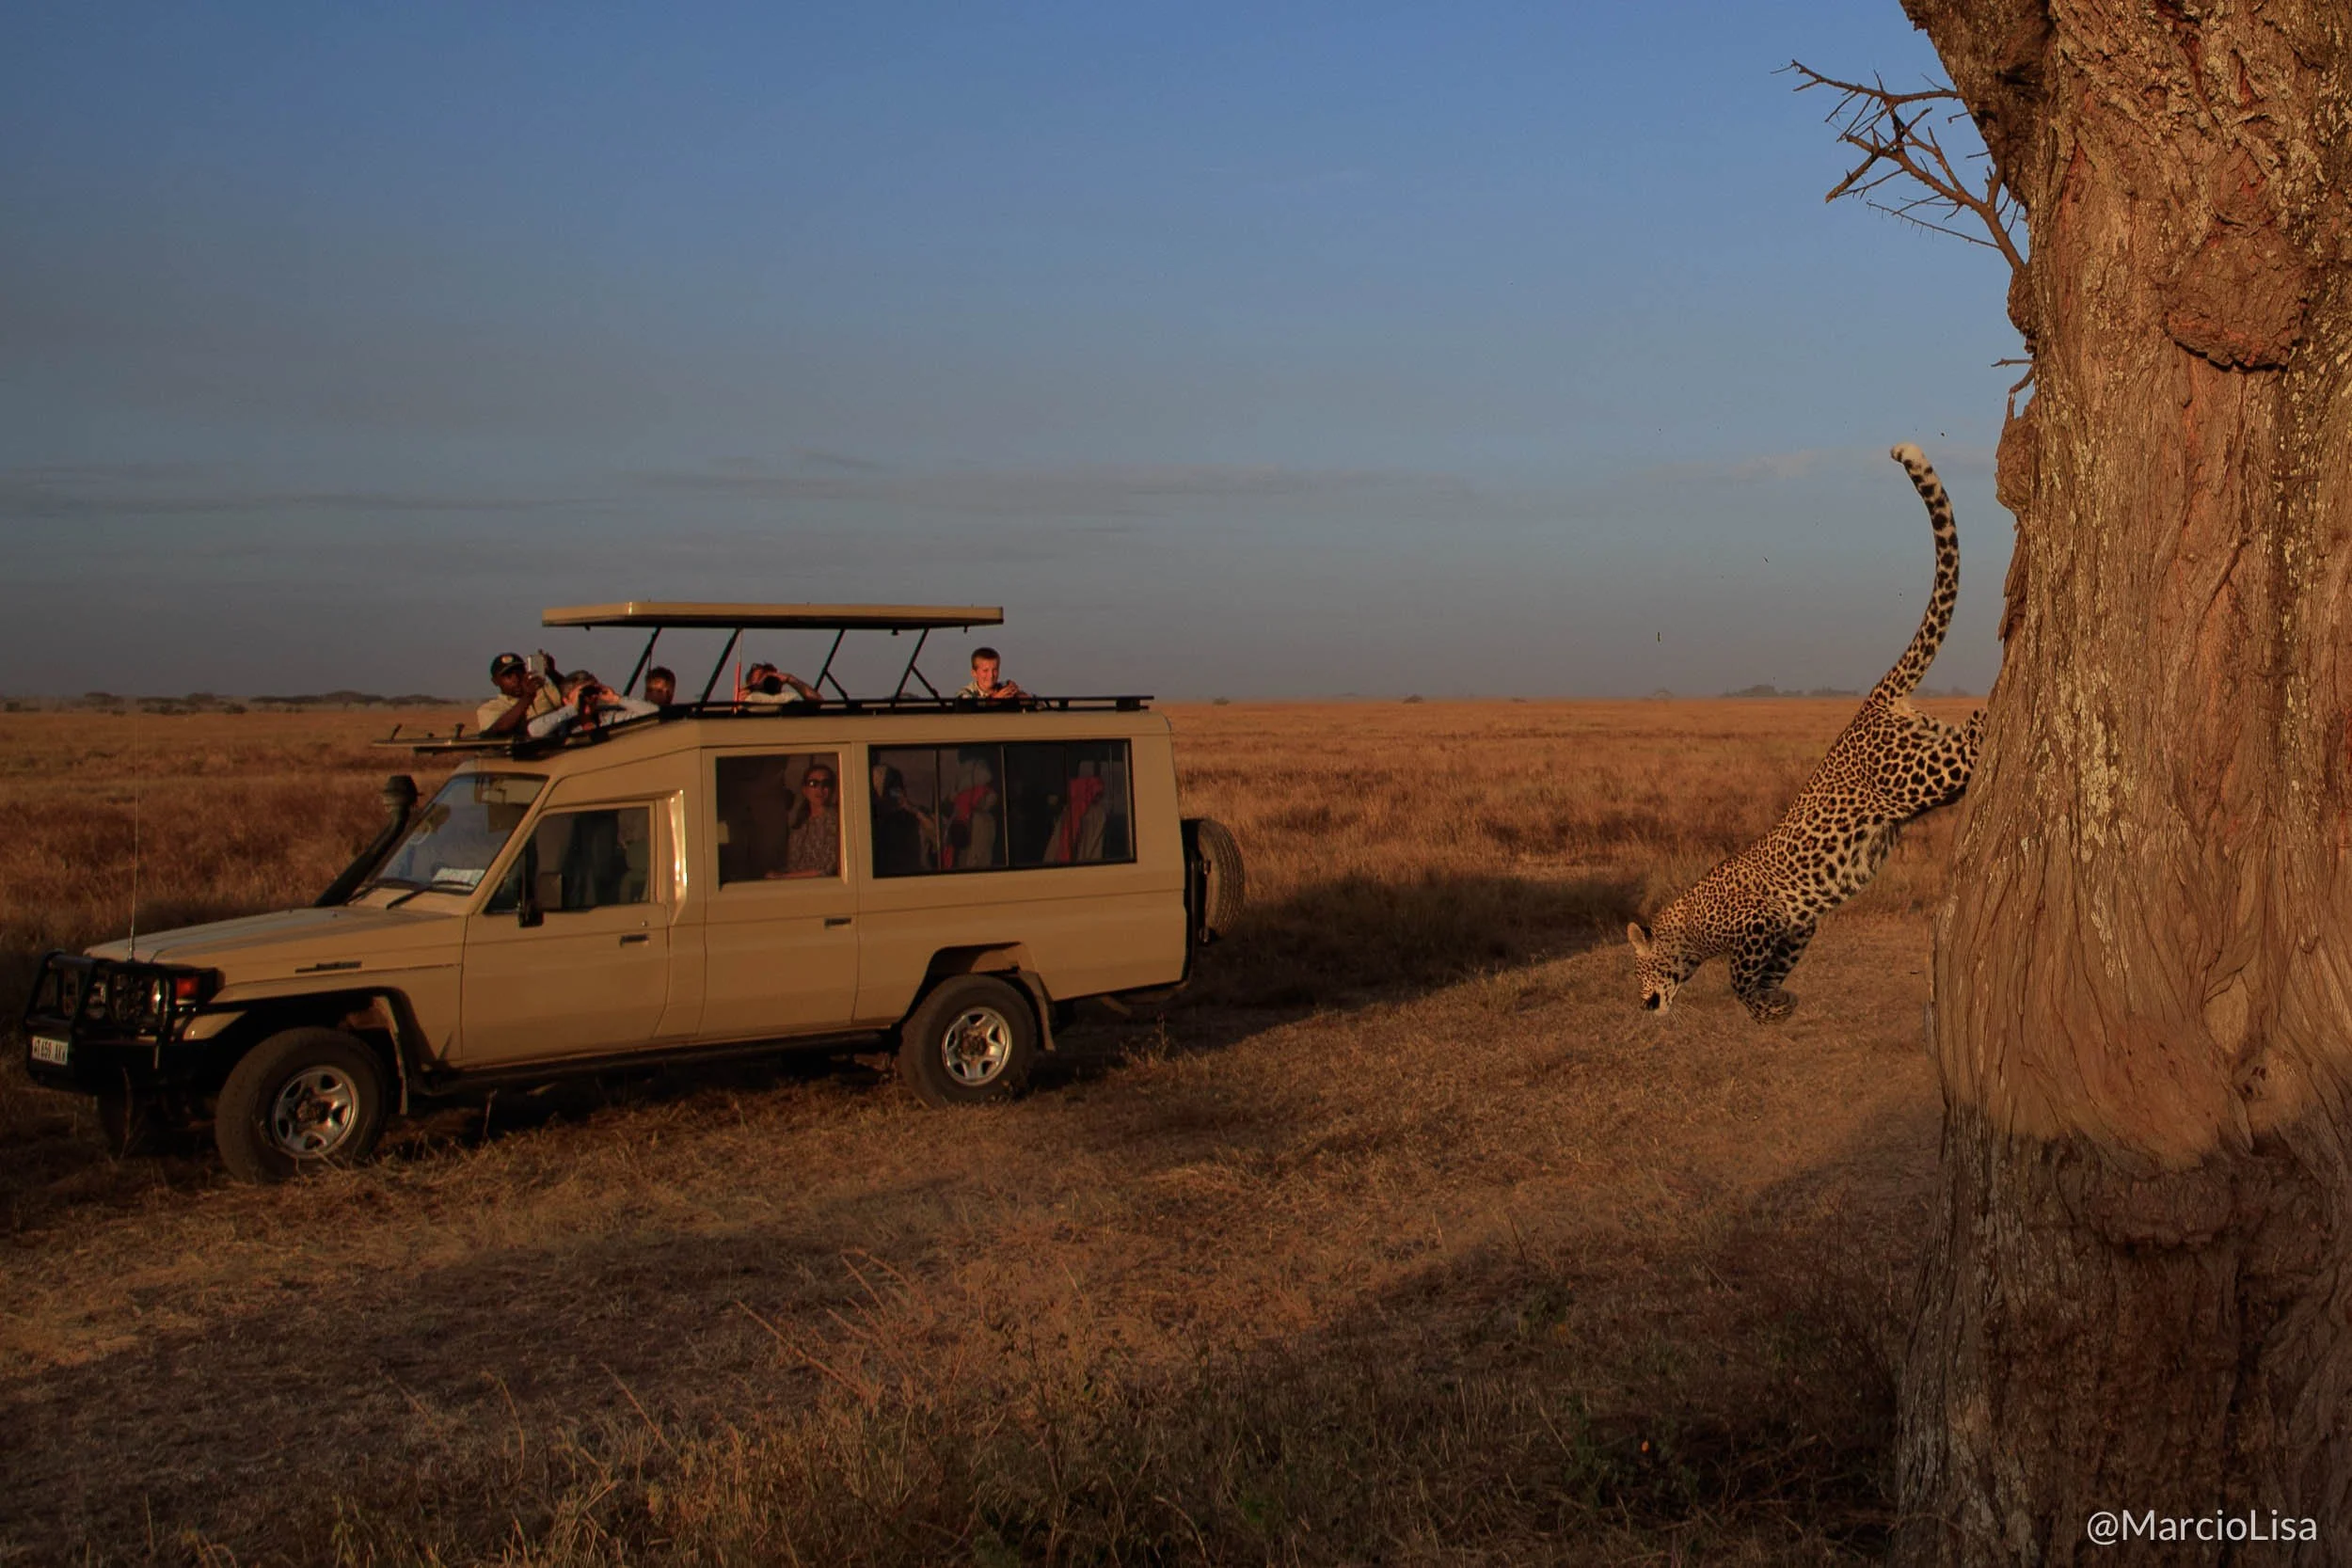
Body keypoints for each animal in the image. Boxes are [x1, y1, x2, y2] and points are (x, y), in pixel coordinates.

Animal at [1628, 443, 1983, 1022]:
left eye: (1638, 971)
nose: (1642, 1005)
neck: (1690, 924)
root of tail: (1868, 706)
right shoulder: (1798, 924)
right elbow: (1776, 966)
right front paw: (1779, 1001)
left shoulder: (1756, 924)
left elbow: (1739, 978)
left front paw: (1766, 1006)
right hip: (1928, 766)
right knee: (1970, 729)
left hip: (1914, 775)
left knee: (1977, 731)